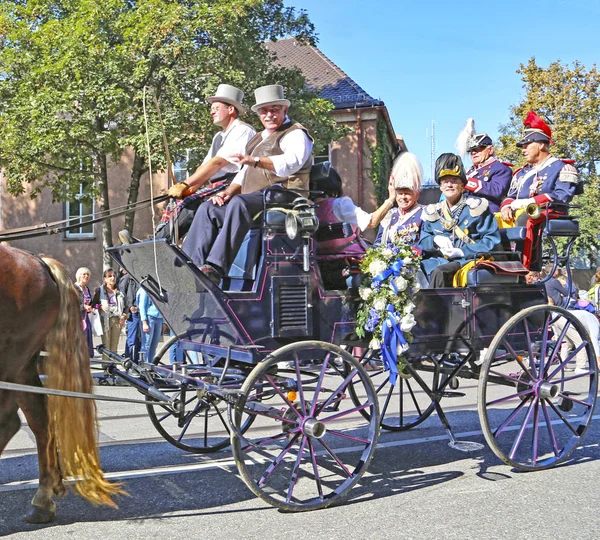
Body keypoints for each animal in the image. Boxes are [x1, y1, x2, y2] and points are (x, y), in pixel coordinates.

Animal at [0, 246, 123, 524]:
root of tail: (38, 262)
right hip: (21, 367)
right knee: (38, 420)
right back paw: (43, 499)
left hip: (10, 361)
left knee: (10, 422)